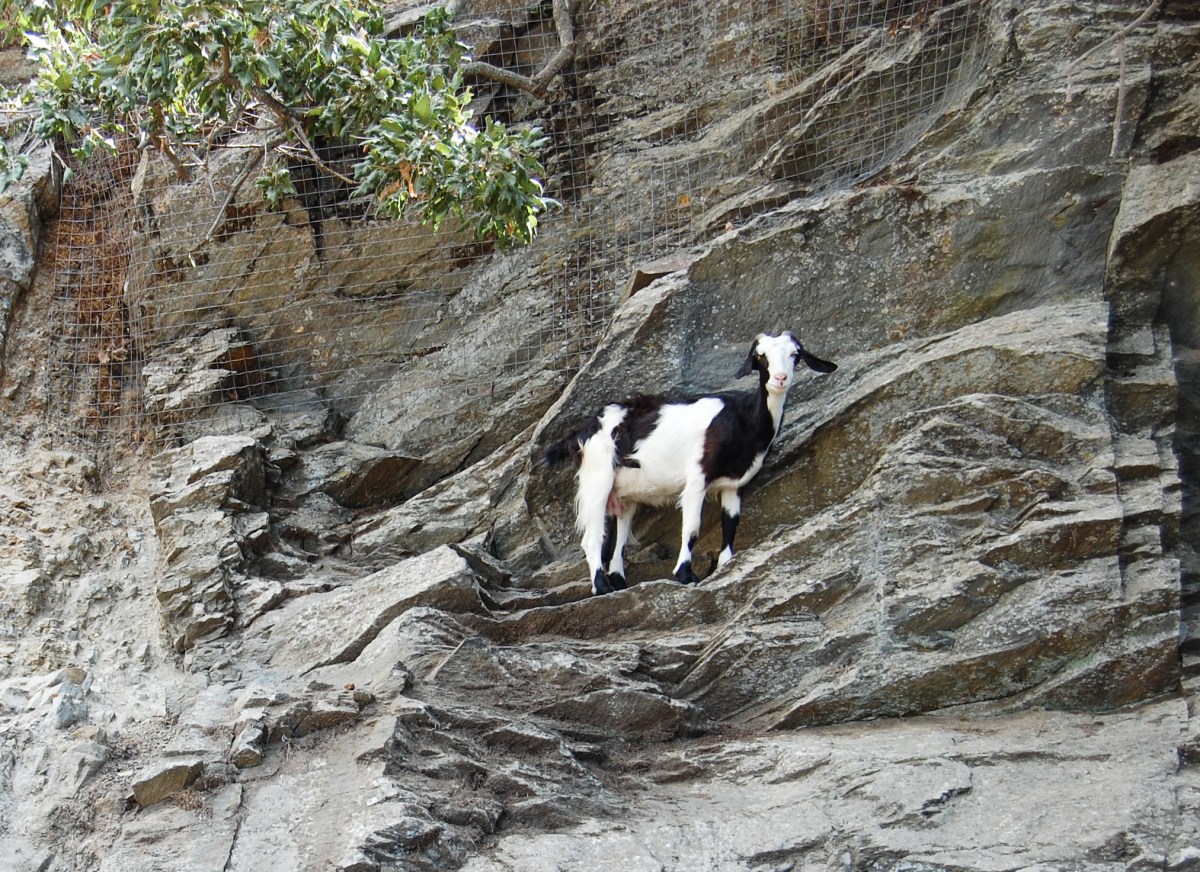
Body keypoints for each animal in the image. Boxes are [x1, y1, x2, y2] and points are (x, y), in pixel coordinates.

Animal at [542, 331, 837, 595]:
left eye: (795, 355)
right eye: (760, 356)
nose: (780, 379)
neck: (742, 420)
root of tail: (580, 432)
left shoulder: (733, 485)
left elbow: (731, 523)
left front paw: (725, 566)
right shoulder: (697, 478)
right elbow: (692, 527)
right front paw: (685, 574)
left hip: (625, 494)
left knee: (619, 538)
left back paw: (618, 582)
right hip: (597, 476)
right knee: (592, 538)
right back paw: (601, 587)